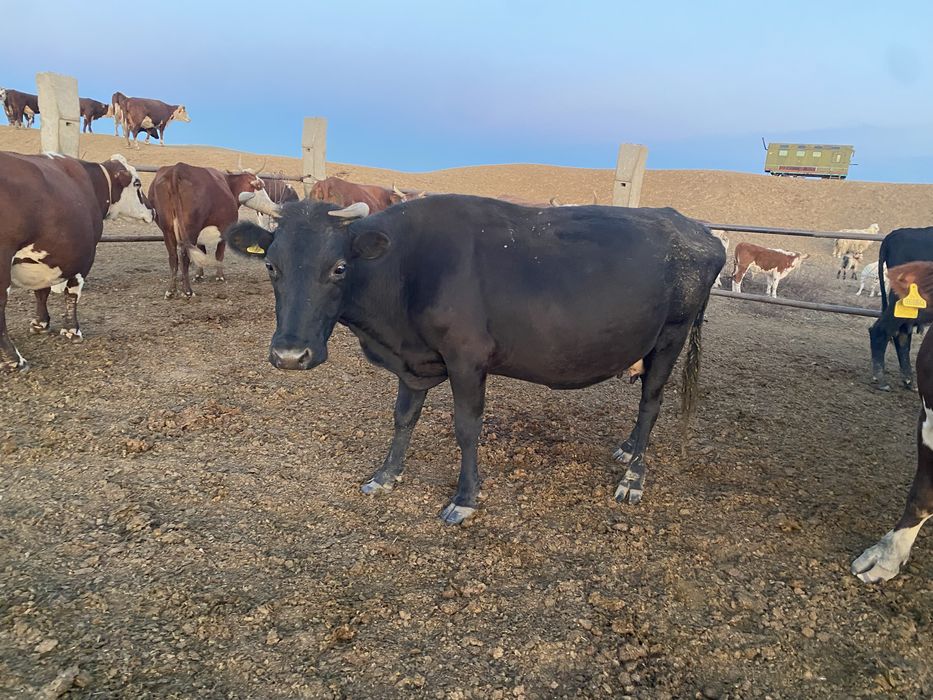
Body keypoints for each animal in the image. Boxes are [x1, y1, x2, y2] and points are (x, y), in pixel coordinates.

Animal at [0, 152, 152, 370]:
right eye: (137, 183)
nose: (152, 210)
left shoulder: (45, 257)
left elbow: (41, 292)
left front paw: (41, 323)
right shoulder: (85, 256)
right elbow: (72, 292)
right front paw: (72, 330)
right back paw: (14, 359)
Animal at [148, 163, 275, 298]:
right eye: (261, 185)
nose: (269, 201)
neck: (229, 186)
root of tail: (178, 168)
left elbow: (201, 250)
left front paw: (199, 275)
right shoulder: (224, 229)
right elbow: (219, 254)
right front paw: (220, 276)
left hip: (167, 230)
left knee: (173, 258)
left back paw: (171, 291)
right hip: (190, 229)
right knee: (184, 256)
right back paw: (187, 291)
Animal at [224, 194, 725, 524]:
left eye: (339, 268)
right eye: (271, 266)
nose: (290, 354)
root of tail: (695, 227)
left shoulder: (467, 358)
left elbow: (466, 428)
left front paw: (464, 498)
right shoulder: (415, 360)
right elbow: (403, 417)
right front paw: (386, 474)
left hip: (671, 335)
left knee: (651, 403)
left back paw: (633, 478)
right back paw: (626, 448)